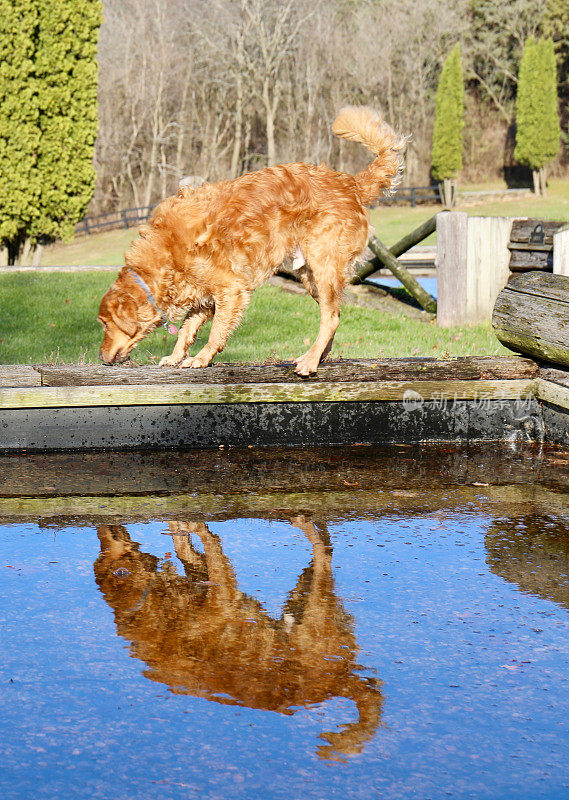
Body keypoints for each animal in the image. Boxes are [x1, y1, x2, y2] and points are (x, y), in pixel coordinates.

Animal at [100, 105, 406, 376]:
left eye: (104, 325)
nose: (101, 359)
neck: (165, 255)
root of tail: (350, 184)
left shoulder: (230, 290)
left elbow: (216, 331)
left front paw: (202, 358)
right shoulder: (202, 295)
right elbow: (187, 329)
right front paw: (176, 356)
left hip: (324, 266)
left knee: (330, 317)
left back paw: (310, 361)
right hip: (311, 275)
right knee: (335, 315)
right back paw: (317, 356)